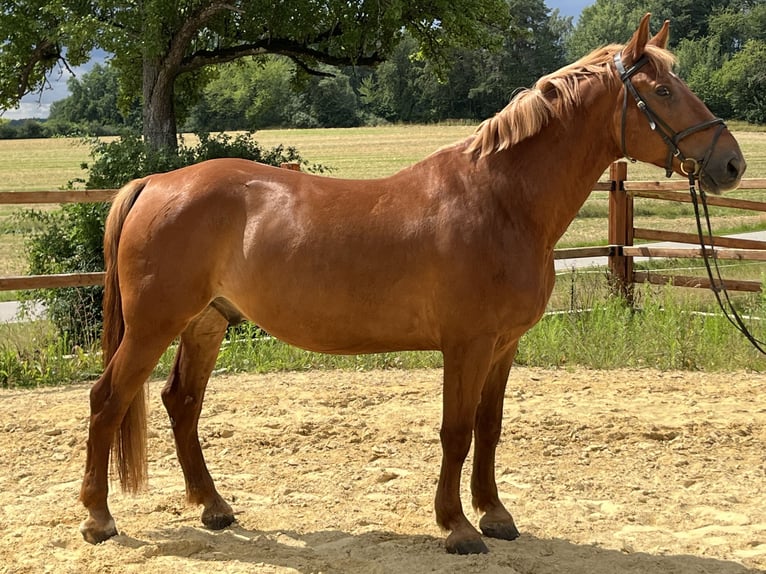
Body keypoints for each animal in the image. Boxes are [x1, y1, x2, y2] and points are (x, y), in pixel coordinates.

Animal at [79, 14, 746, 555]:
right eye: (662, 91)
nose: (732, 163)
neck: (500, 201)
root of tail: (156, 182)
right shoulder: (466, 345)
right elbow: (456, 431)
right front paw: (457, 527)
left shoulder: (504, 345)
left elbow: (489, 428)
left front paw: (495, 515)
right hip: (154, 326)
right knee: (108, 400)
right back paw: (98, 519)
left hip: (207, 323)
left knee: (182, 403)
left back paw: (214, 507)